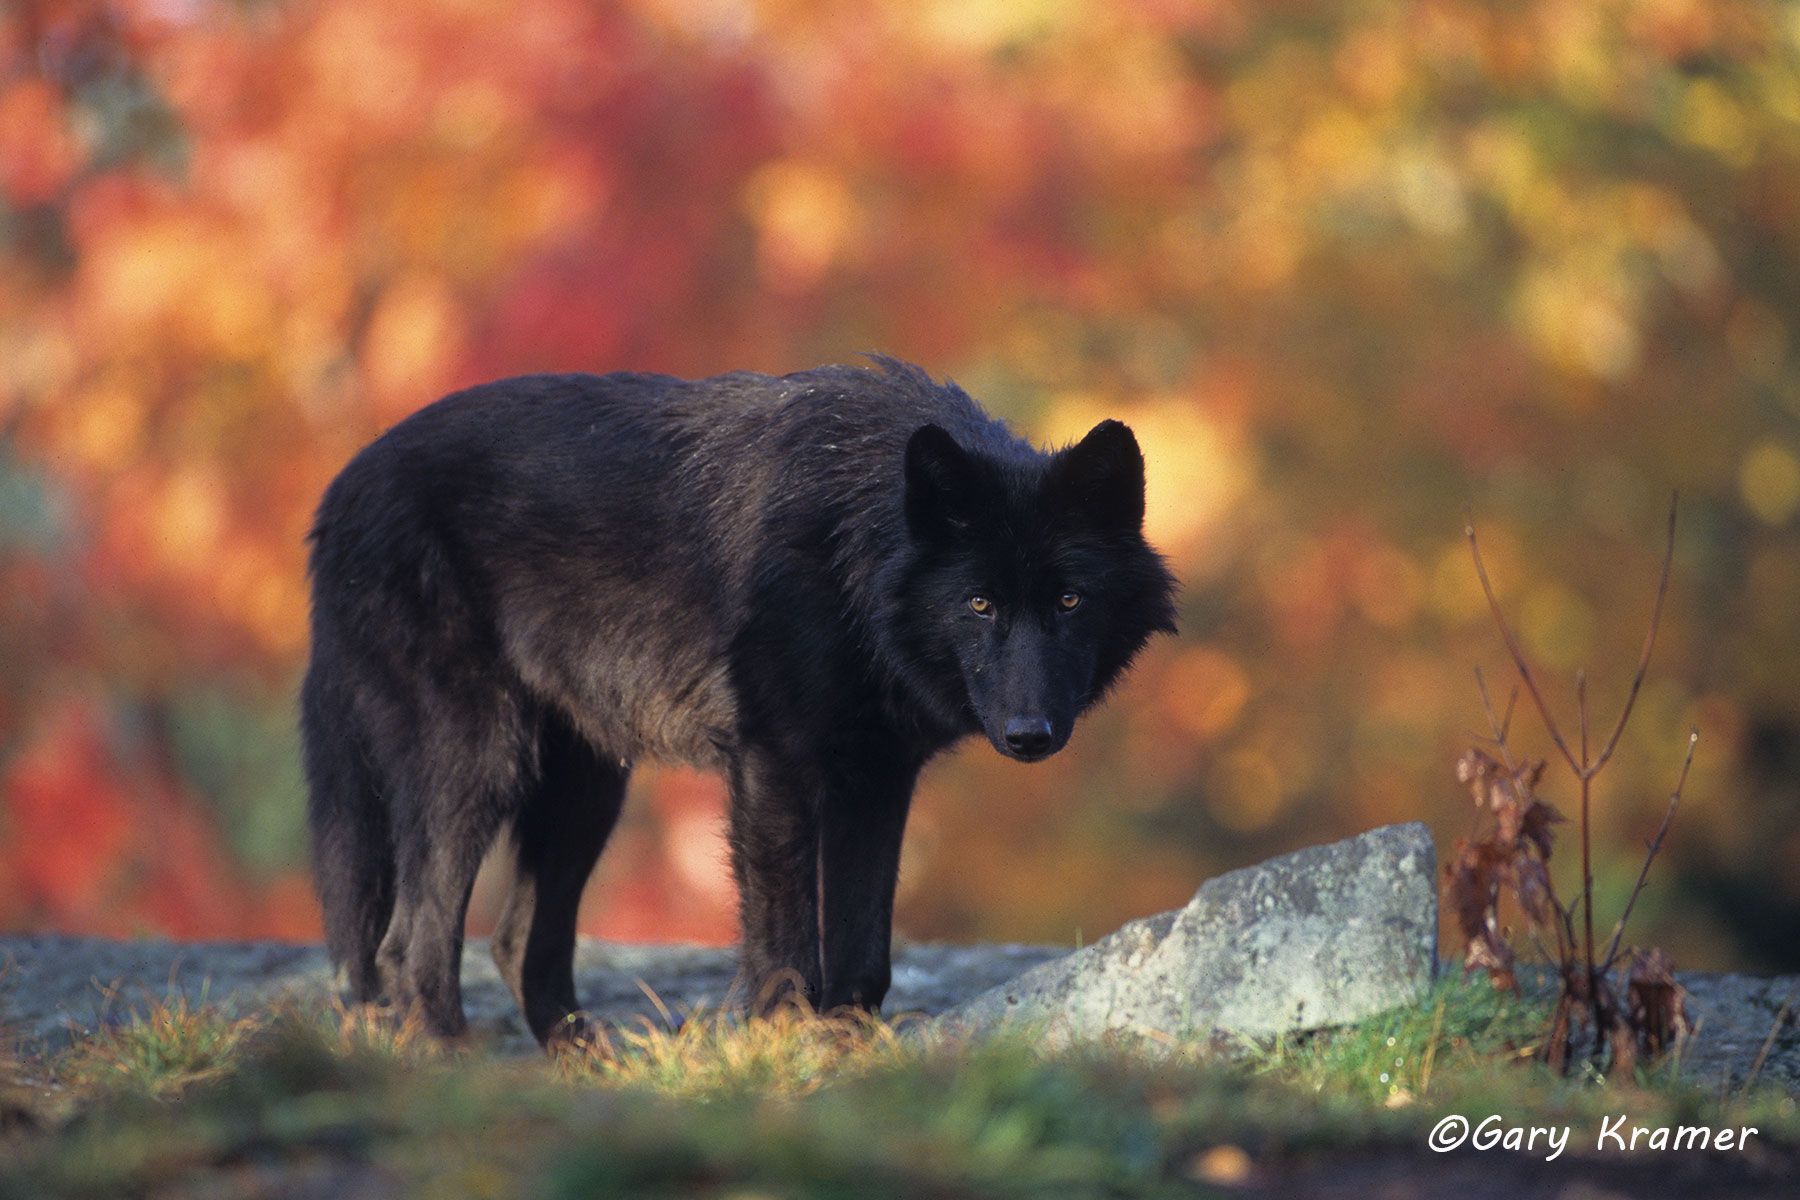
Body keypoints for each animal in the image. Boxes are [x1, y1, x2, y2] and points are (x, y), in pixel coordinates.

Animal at [301, 357, 1177, 1045]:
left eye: (1069, 601)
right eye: (980, 604)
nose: (1031, 735)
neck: (850, 548)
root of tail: (340, 489)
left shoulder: (876, 780)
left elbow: (863, 953)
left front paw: (845, 1055)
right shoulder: (774, 766)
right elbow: (786, 947)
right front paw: (785, 1050)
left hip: (587, 791)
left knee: (518, 945)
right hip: (481, 764)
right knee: (409, 944)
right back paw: (453, 1066)